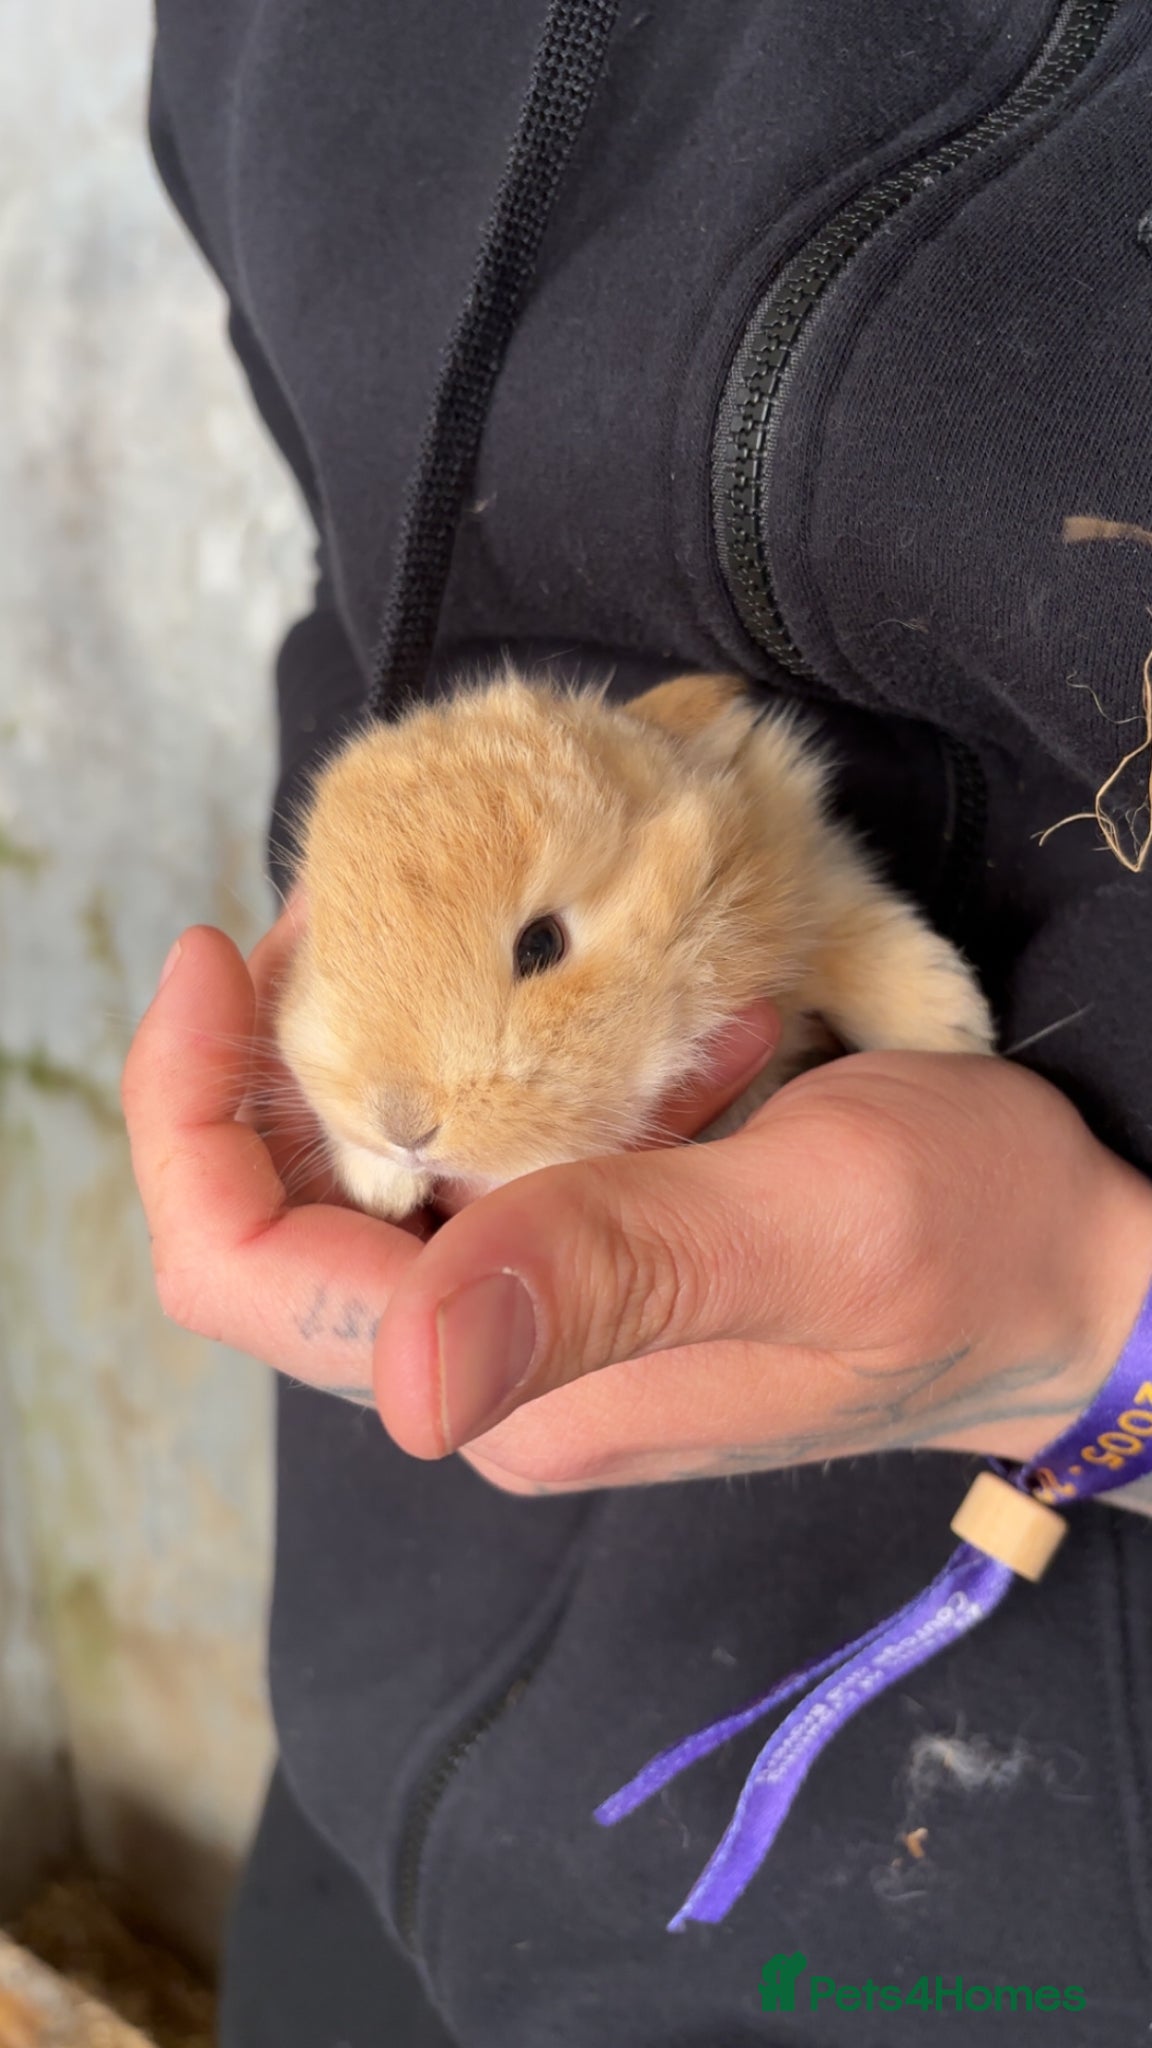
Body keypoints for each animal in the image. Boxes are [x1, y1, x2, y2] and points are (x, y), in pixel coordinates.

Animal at [274, 668, 994, 1220]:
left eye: (541, 944)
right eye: (323, 951)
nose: (402, 1126)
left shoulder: (812, 875)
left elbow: (855, 940)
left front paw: (954, 1034)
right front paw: (381, 1185)